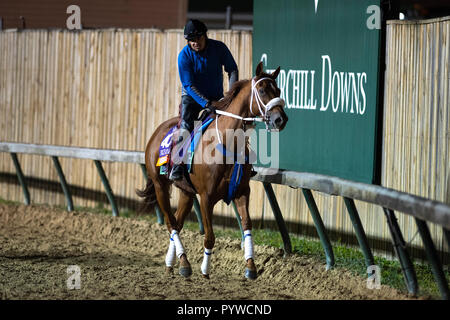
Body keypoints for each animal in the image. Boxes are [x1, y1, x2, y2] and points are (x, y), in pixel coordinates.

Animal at [135, 61, 288, 278]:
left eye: (279, 90)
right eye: (262, 89)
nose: (280, 119)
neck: (226, 142)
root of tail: (157, 132)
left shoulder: (242, 192)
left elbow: (247, 226)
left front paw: (251, 266)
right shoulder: (206, 197)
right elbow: (209, 236)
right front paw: (205, 269)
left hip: (186, 192)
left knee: (178, 223)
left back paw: (173, 262)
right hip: (160, 186)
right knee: (171, 223)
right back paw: (184, 262)